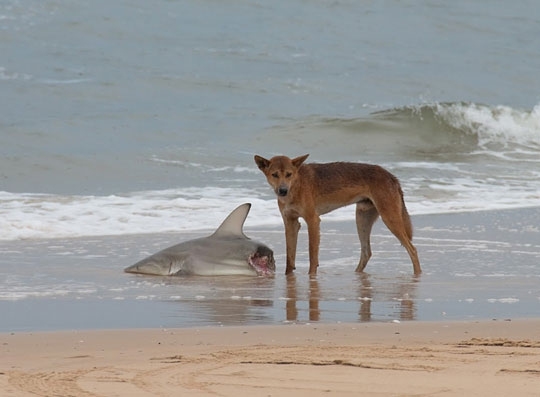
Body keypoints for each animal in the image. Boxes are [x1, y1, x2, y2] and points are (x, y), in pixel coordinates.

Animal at [254, 153, 422, 274]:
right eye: (275, 174)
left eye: (289, 174)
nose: (282, 191)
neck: (296, 185)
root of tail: (392, 177)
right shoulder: (290, 223)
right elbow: (290, 257)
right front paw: (288, 276)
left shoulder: (313, 220)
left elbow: (312, 256)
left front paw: (311, 278)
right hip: (362, 219)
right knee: (366, 252)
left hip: (390, 219)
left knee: (412, 249)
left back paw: (418, 275)